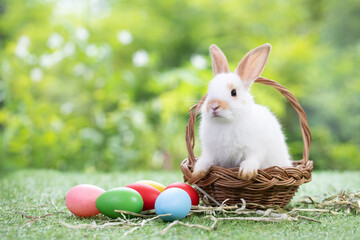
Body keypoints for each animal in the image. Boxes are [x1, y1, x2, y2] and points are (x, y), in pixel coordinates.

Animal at [193, 44, 292, 181]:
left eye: (233, 92)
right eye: (209, 92)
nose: (213, 106)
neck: (226, 123)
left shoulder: (255, 149)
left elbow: (251, 160)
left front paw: (246, 173)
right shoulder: (210, 152)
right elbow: (206, 160)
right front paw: (197, 172)